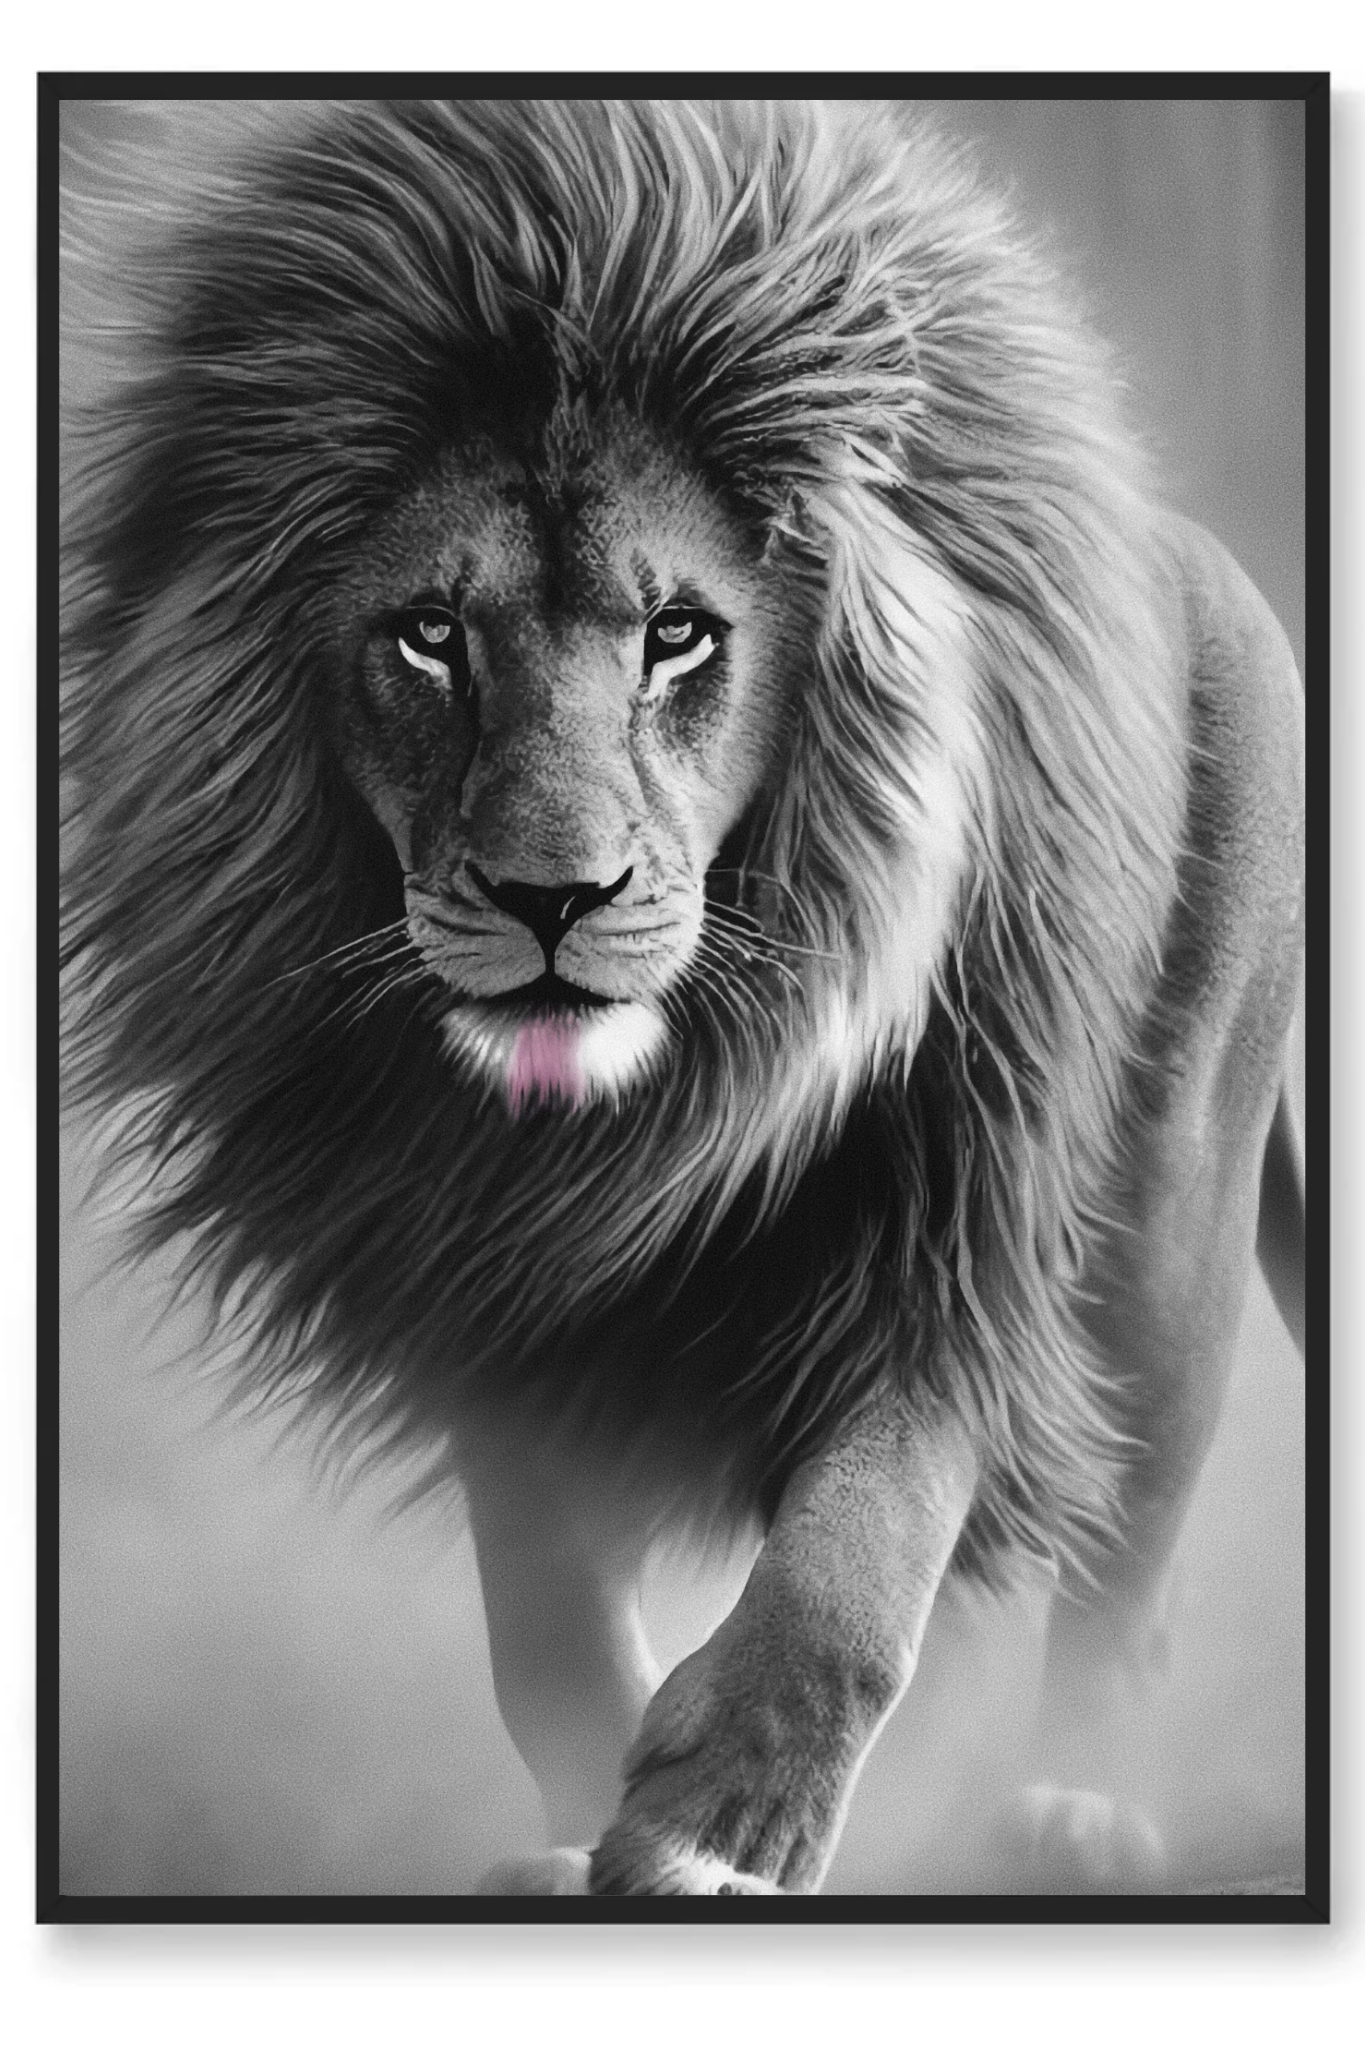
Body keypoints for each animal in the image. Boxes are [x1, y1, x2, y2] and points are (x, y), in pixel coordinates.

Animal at [62, 98, 1305, 1897]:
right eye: (429, 635)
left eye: (677, 635)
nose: (551, 898)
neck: (648, 1115)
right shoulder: (479, 1295)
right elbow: (548, 1626)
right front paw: (585, 1830)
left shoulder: (951, 1228)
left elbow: (859, 1553)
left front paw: (723, 1825)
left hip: (1172, 1230)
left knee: (1128, 1555)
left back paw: (1078, 1806)